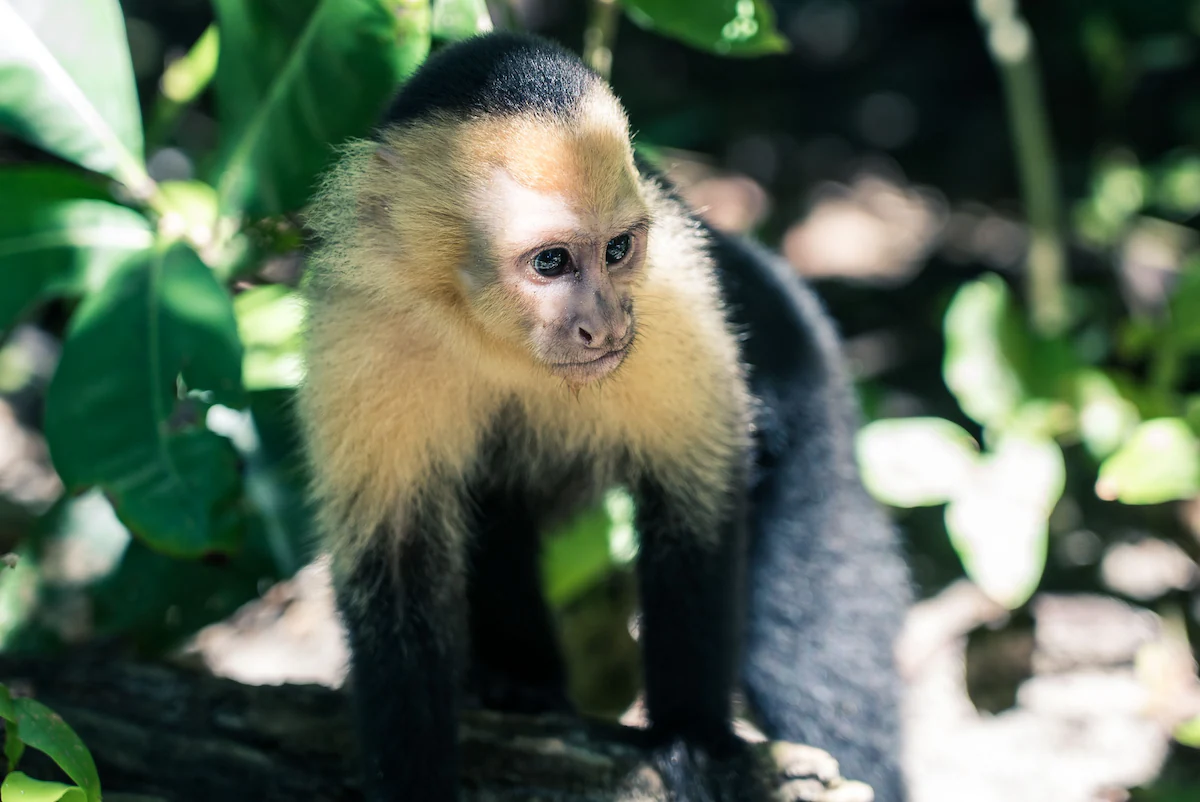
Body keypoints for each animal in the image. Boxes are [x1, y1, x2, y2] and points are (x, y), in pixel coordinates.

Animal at [297, 31, 911, 802]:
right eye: (552, 263)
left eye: (617, 249)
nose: (607, 325)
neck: (492, 336)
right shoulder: (364, 329)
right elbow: (396, 571)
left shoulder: (672, 291)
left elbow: (695, 497)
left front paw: (692, 737)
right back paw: (520, 681)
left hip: (805, 371)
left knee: (809, 636)